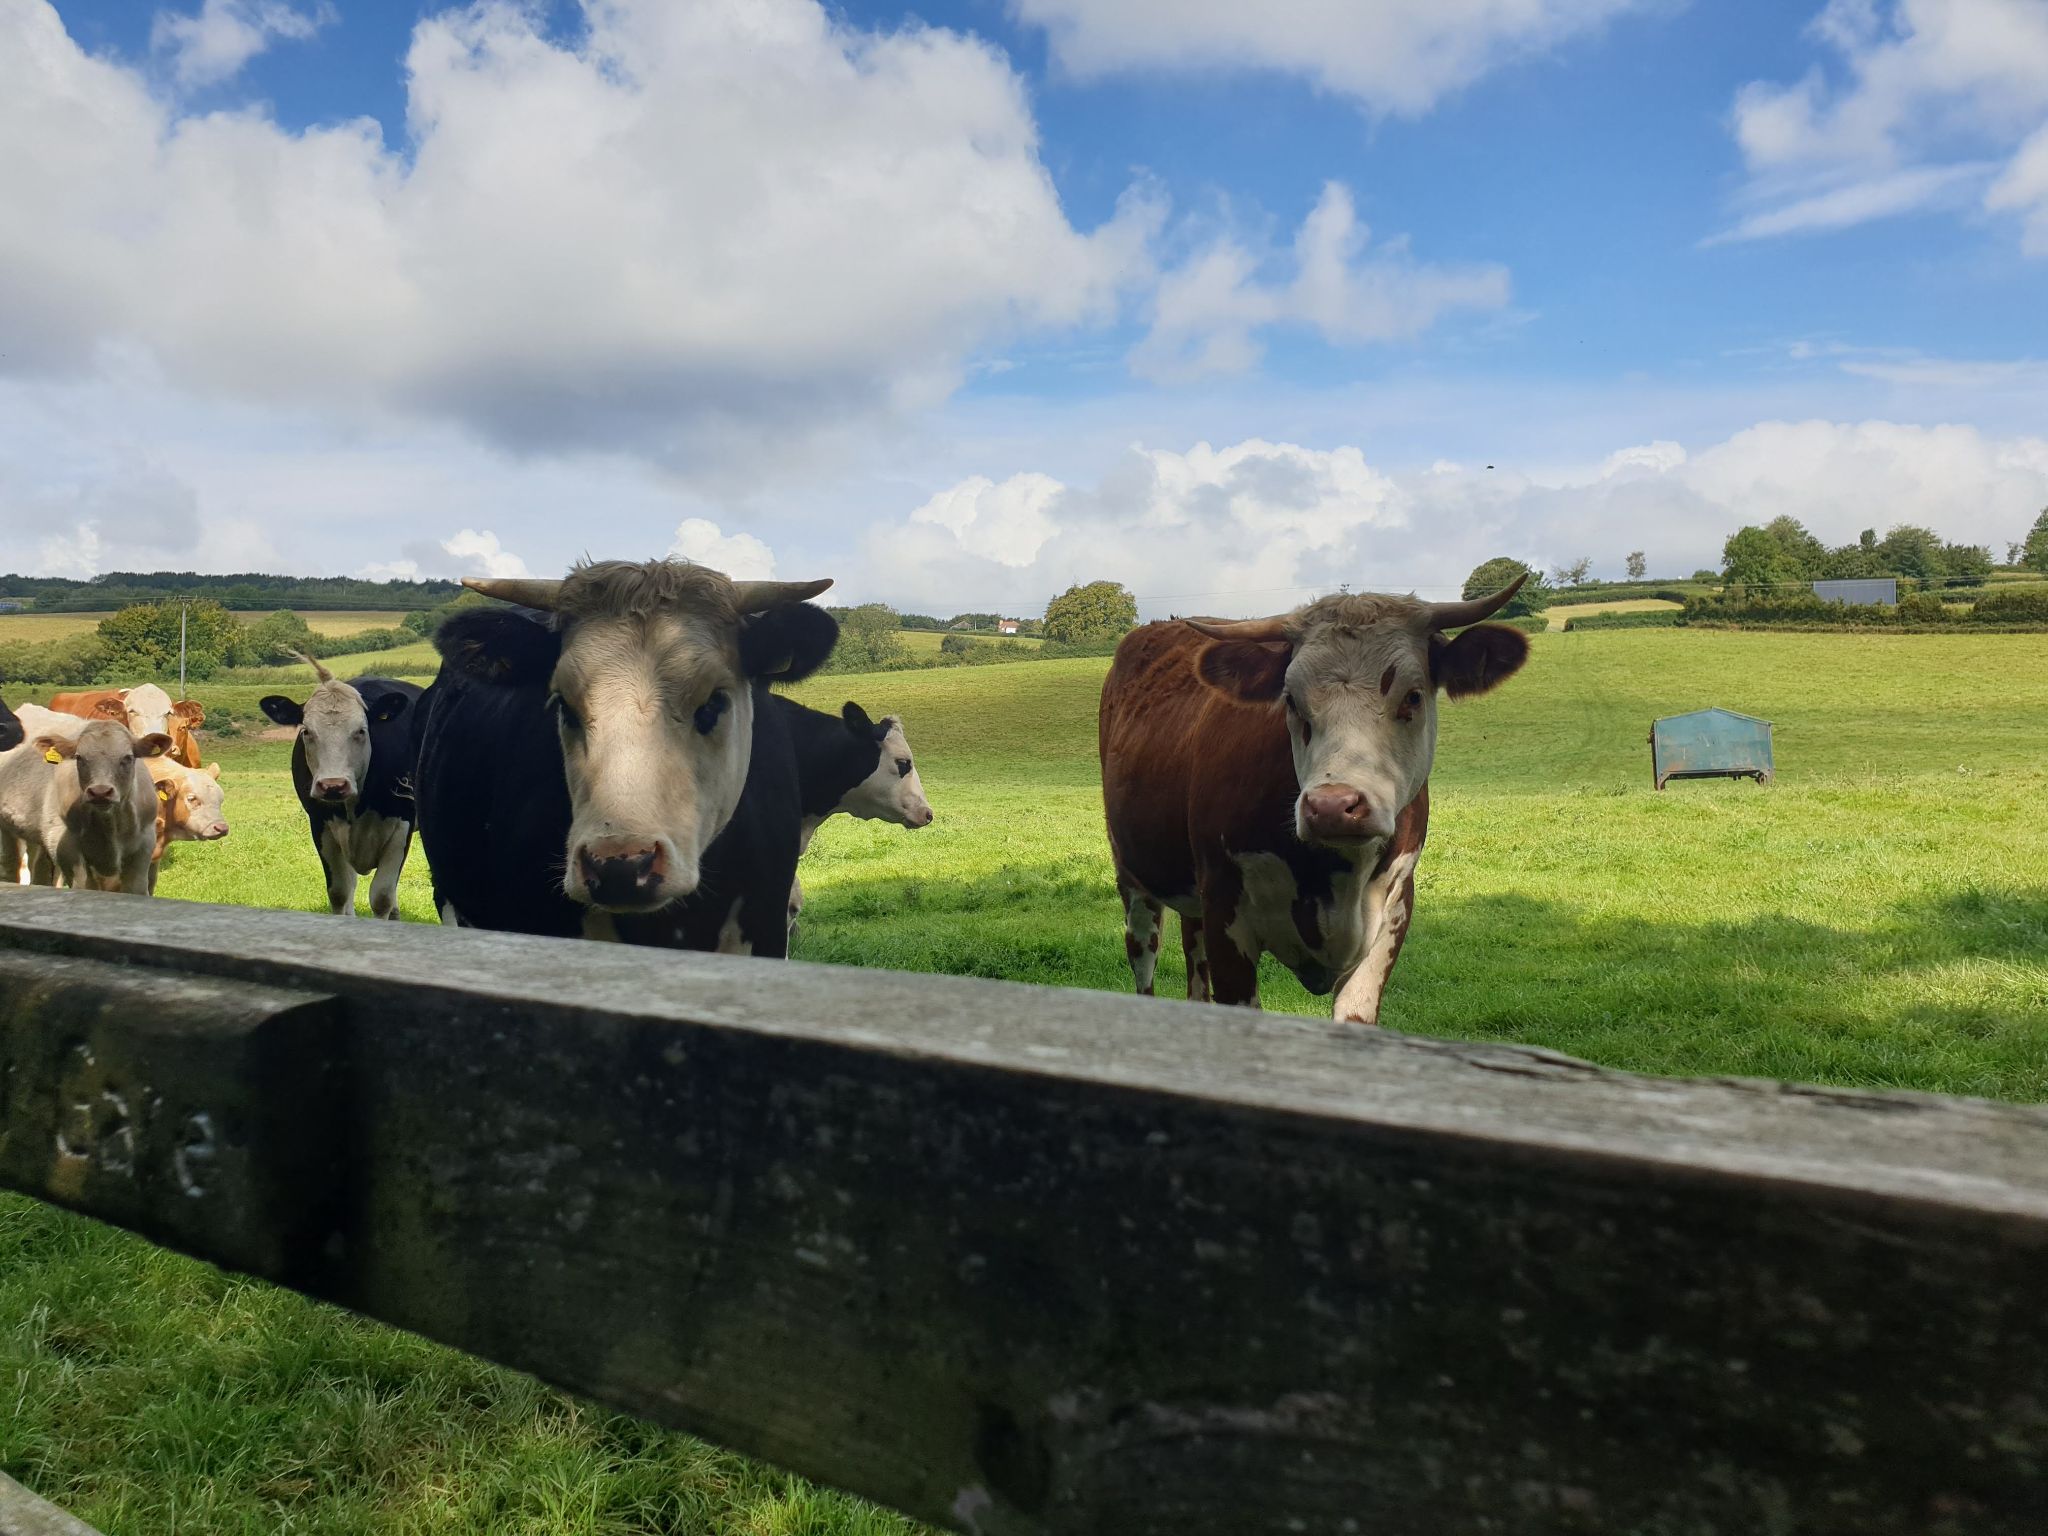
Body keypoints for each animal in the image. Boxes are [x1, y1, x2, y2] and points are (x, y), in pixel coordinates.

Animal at [8, 720, 171, 894]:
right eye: (79, 758)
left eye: (128, 757)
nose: (100, 792)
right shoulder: (67, 847)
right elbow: (84, 886)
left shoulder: (144, 846)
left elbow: (136, 888)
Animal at [260, 659, 422, 919]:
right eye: (306, 731)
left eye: (361, 731)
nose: (333, 785)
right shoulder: (321, 825)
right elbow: (340, 892)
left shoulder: (401, 826)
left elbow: (382, 897)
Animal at [1098, 579, 1529, 1026]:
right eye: (1290, 699)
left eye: (1413, 696)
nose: (1333, 807)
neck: (1335, 875)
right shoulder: (1224, 909)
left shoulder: (1393, 913)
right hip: (1132, 877)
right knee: (1144, 958)